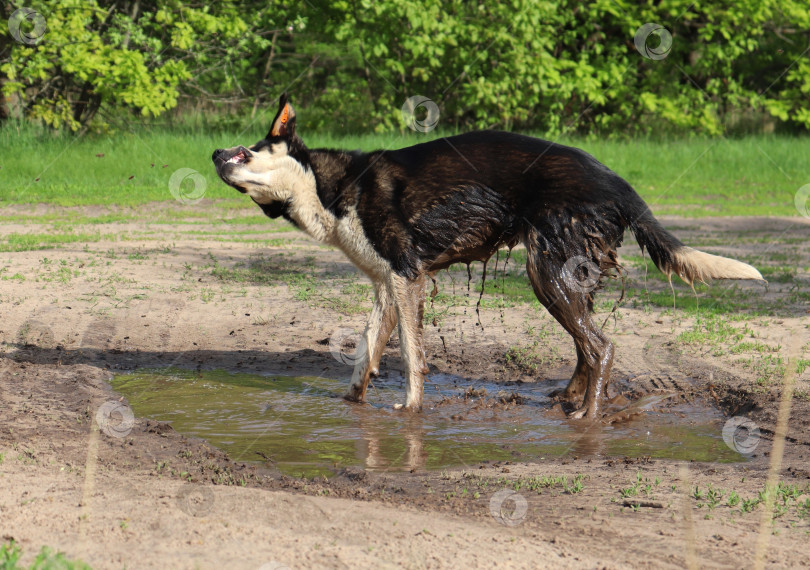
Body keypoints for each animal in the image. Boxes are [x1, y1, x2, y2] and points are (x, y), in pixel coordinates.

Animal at [210, 94, 764, 418]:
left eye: (246, 151)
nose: (212, 154)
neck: (330, 188)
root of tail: (619, 182)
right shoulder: (388, 286)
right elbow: (366, 353)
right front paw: (351, 403)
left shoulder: (407, 279)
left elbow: (411, 357)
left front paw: (410, 409)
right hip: (565, 278)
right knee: (586, 348)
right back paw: (569, 399)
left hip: (546, 274)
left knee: (601, 347)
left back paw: (587, 415)